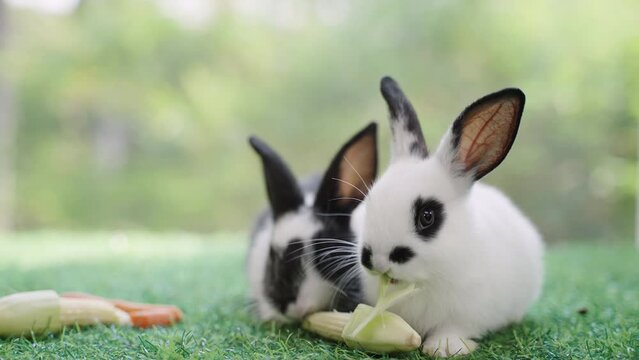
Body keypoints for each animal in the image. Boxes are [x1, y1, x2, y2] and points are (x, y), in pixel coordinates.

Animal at [356, 77, 544, 356]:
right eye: (370, 203)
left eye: (427, 216)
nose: (377, 261)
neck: (424, 282)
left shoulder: (467, 313)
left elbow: (454, 328)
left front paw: (444, 348)